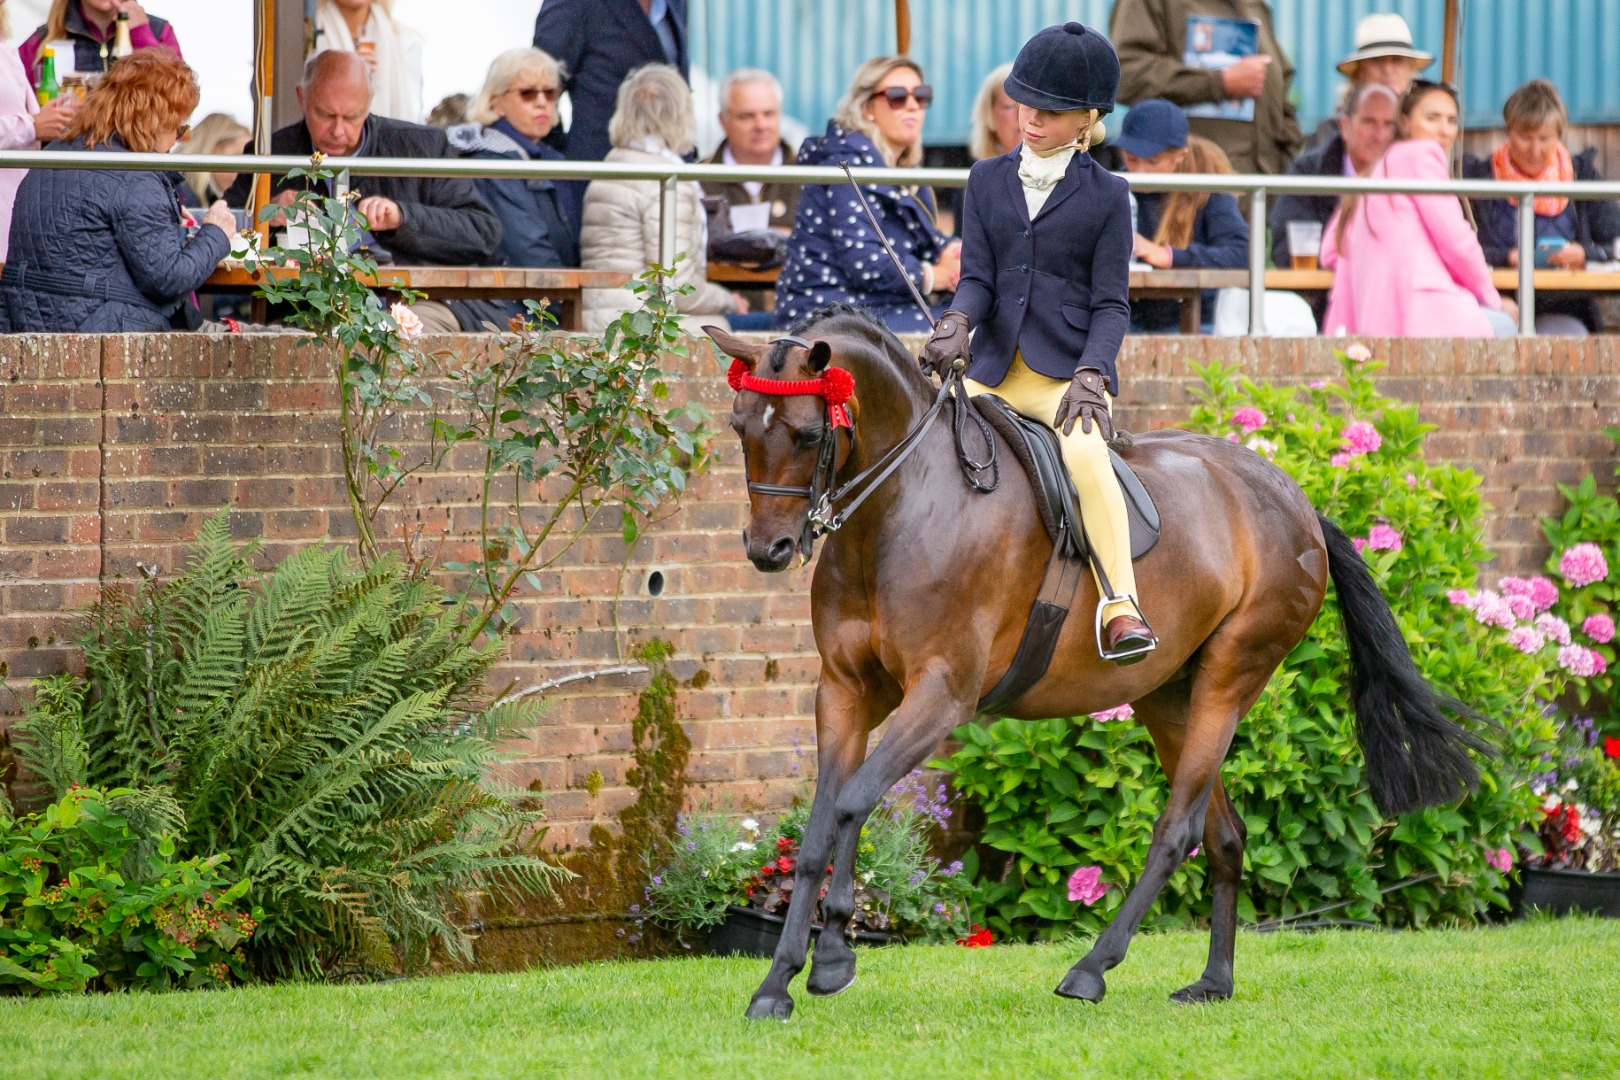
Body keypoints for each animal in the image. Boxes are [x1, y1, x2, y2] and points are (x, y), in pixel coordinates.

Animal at [704, 305, 1485, 1021]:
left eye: (808, 435)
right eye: (741, 429)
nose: (768, 550)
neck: (896, 512)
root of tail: (1294, 501)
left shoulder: (941, 696)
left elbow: (852, 801)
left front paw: (832, 956)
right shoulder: (843, 691)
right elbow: (817, 829)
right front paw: (780, 982)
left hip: (1230, 678)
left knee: (1178, 830)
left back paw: (1090, 969)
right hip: (1166, 696)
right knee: (1223, 834)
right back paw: (1212, 982)